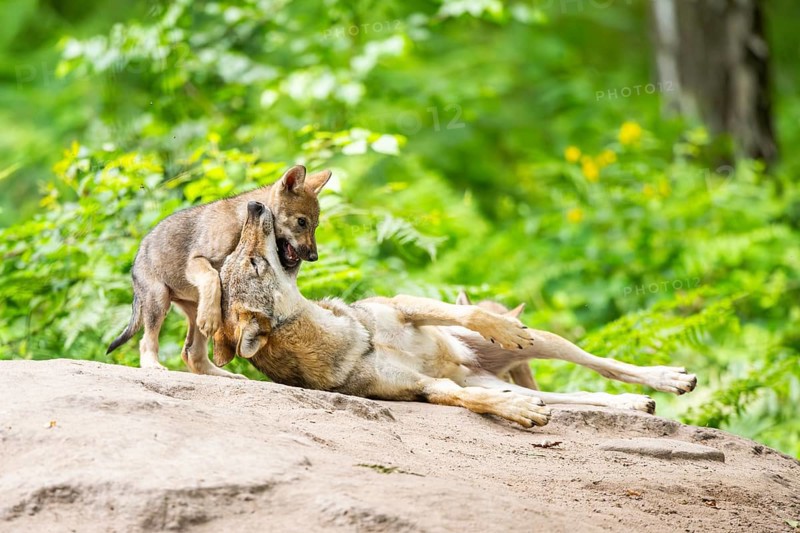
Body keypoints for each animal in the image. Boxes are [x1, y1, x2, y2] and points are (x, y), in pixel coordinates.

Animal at [106, 165, 331, 378]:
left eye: (315, 226)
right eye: (302, 222)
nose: (314, 257)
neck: (240, 223)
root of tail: (136, 260)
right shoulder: (197, 262)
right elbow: (212, 276)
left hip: (195, 307)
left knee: (191, 353)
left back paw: (224, 374)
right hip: (159, 300)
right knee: (147, 341)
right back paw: (152, 364)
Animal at [212, 202, 697, 426]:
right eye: (251, 262)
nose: (255, 206)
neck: (352, 337)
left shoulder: (405, 306)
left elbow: (464, 315)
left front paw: (499, 326)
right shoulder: (423, 389)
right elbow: (471, 400)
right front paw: (518, 413)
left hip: (546, 342)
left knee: (605, 365)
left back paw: (668, 380)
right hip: (497, 377)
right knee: (572, 395)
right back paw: (631, 403)